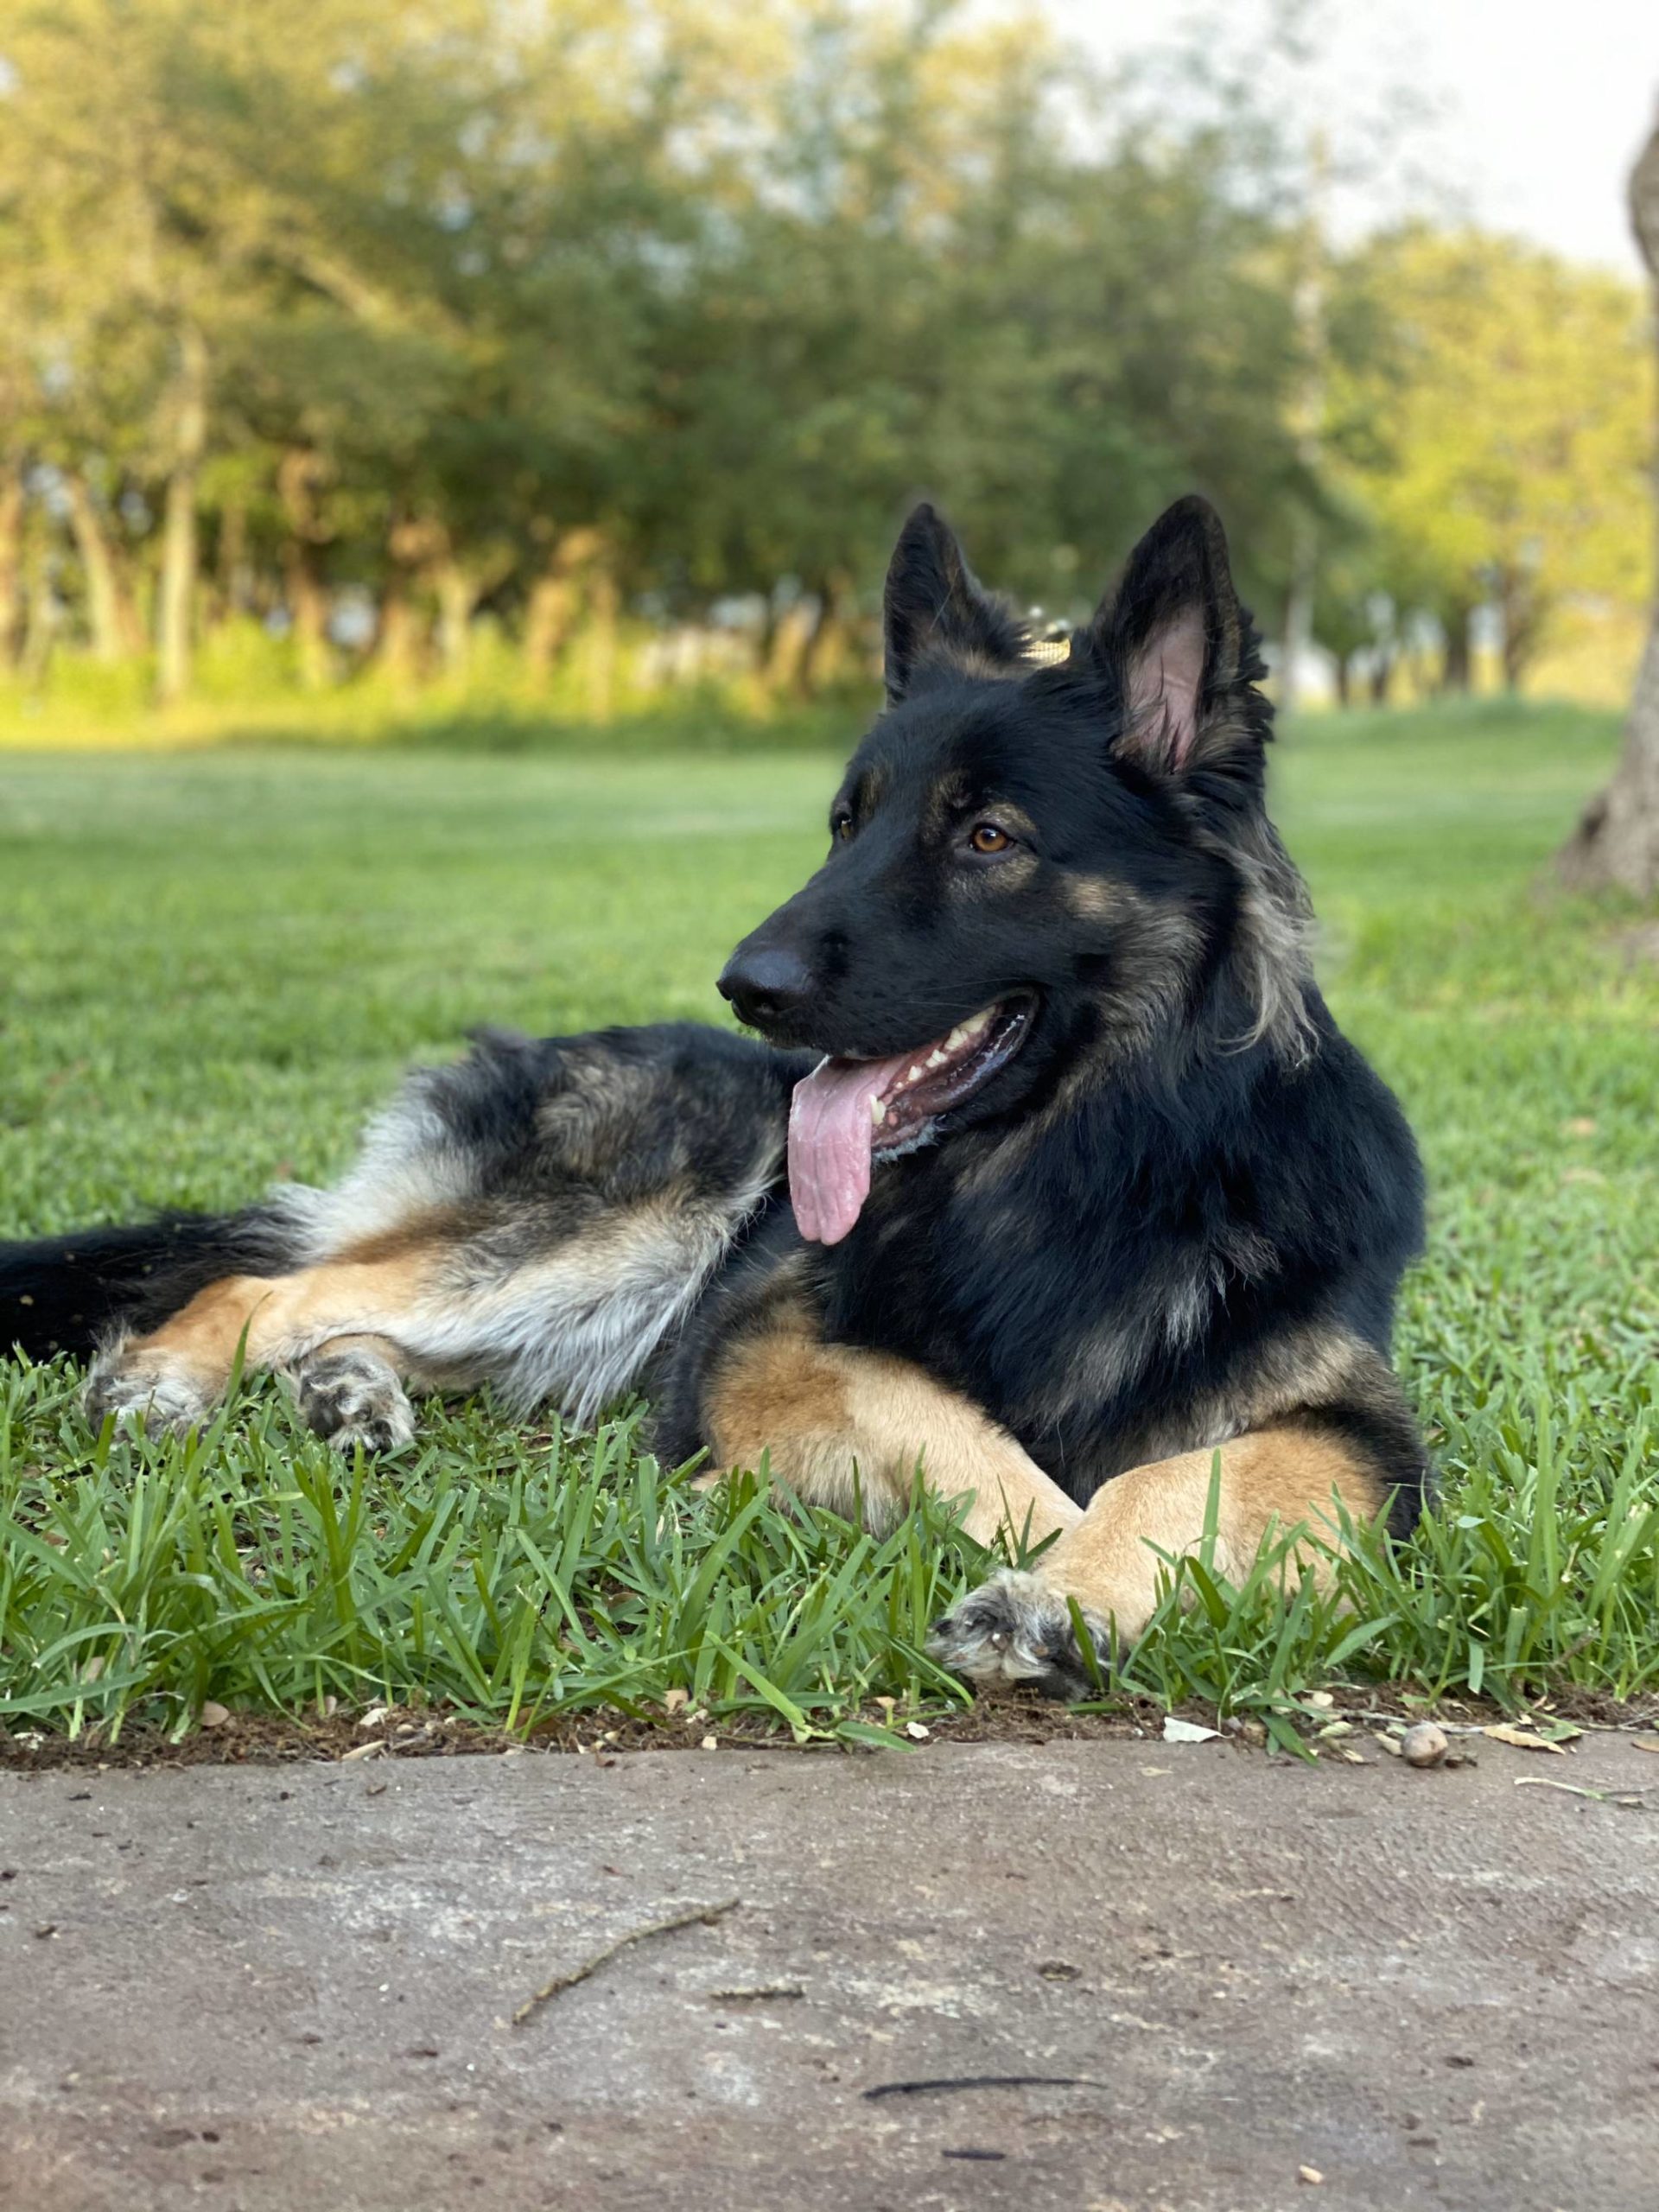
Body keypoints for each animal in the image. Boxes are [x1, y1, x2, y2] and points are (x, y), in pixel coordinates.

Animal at [0, 498, 1433, 1689]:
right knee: (267, 1286)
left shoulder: (1352, 1432)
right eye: (846, 825)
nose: (750, 985)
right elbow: (957, 1430)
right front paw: (1031, 1562)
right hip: (616, 1235)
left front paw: (1069, 1590)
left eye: (987, 837)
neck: (1085, 1166)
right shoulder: (769, 1340)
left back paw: (350, 1396)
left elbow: (1184, 1477)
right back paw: (169, 1384)